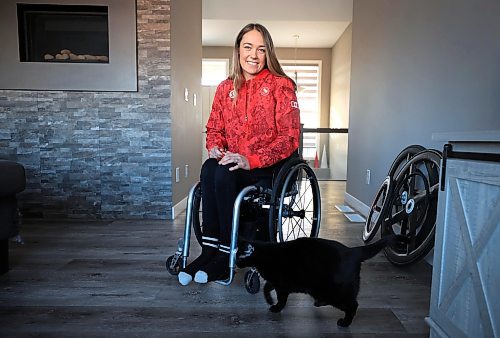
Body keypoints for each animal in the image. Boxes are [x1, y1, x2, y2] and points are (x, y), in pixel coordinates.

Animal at [237, 234, 406, 326]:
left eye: (238, 257)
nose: (236, 264)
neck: (265, 254)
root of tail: (353, 251)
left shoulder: (282, 285)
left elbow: (281, 299)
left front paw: (276, 307)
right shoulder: (276, 282)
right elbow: (266, 287)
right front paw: (269, 300)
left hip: (335, 292)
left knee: (353, 305)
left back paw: (345, 323)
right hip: (323, 291)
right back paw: (319, 302)